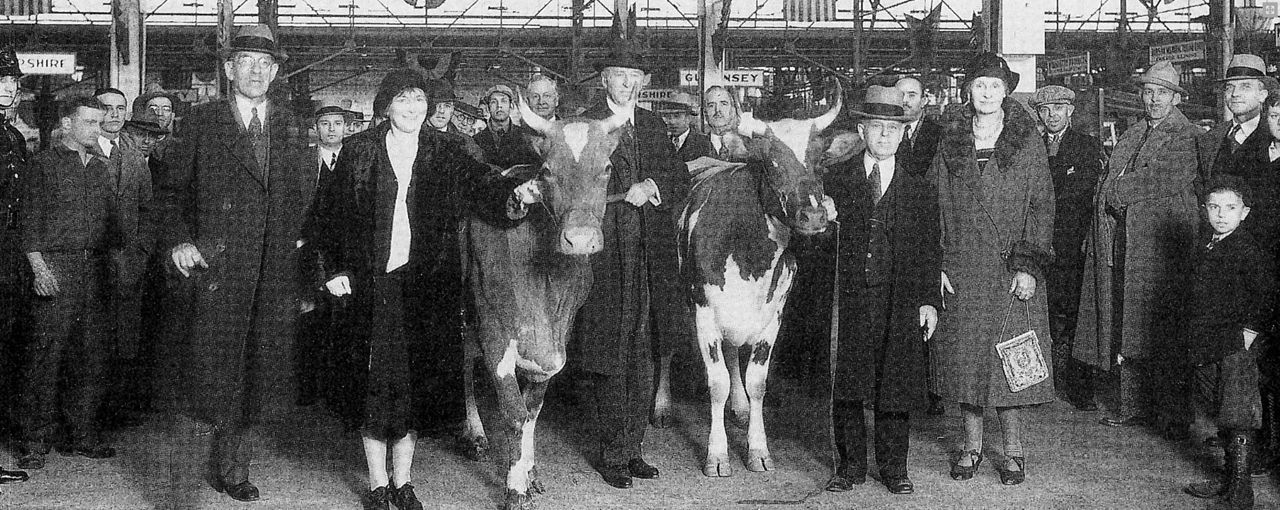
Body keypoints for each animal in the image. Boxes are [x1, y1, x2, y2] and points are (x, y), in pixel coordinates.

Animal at [460, 100, 624, 510]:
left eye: (606, 168)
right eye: (547, 171)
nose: (579, 239)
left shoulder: (559, 337)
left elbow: (533, 410)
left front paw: (530, 472)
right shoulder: (495, 332)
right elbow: (515, 413)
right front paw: (514, 487)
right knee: (465, 367)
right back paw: (474, 433)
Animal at [675, 92, 844, 479]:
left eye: (820, 163)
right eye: (770, 163)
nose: (815, 215)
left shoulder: (772, 316)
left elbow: (756, 382)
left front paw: (758, 448)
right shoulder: (704, 313)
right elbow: (717, 382)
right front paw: (716, 454)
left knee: (734, 353)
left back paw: (738, 408)